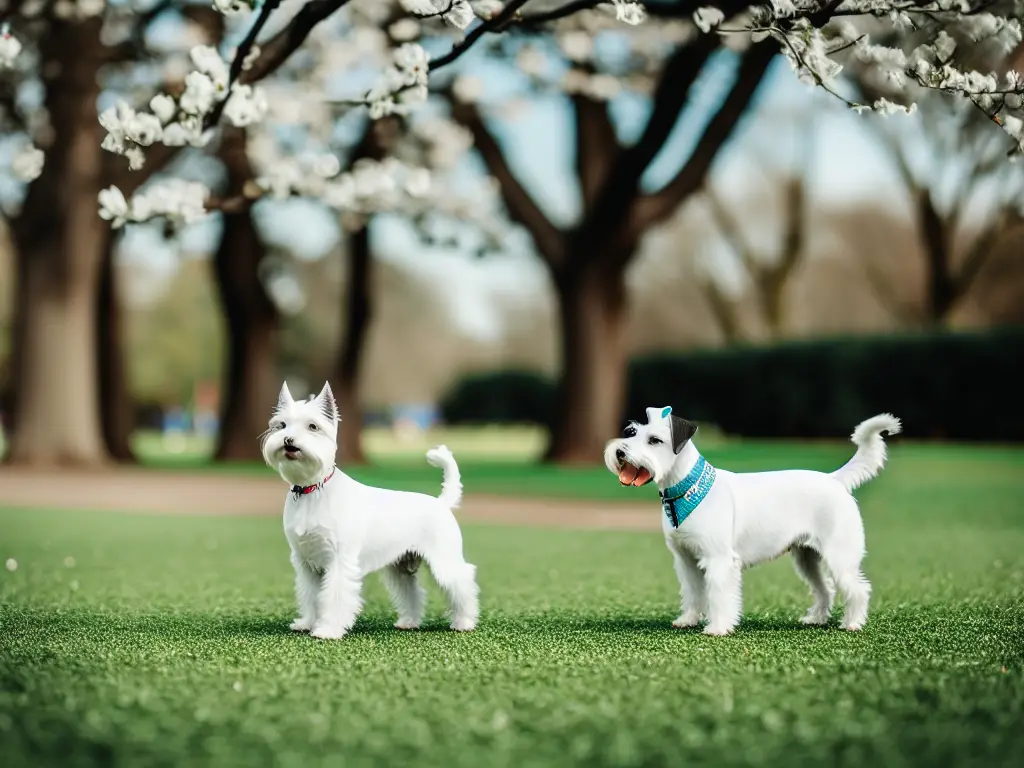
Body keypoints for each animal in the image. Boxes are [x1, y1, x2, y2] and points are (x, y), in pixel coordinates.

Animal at [258, 382, 477, 638]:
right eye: (281, 425)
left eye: (313, 426)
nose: (288, 439)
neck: (313, 490)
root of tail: (441, 502)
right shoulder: (306, 564)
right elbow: (311, 596)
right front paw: (308, 623)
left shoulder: (339, 561)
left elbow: (333, 598)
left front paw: (328, 630)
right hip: (400, 567)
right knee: (412, 593)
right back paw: (409, 621)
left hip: (444, 562)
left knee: (463, 584)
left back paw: (464, 622)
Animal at [602, 409, 901, 638]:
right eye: (632, 432)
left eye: (654, 440)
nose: (619, 452)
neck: (688, 491)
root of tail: (835, 479)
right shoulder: (686, 561)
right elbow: (693, 593)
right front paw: (688, 620)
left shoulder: (719, 560)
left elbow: (718, 595)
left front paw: (718, 628)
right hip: (807, 558)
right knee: (825, 588)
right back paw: (816, 618)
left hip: (840, 556)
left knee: (858, 589)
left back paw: (853, 623)